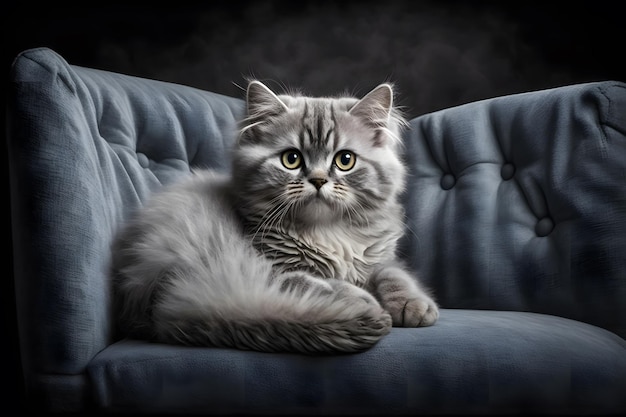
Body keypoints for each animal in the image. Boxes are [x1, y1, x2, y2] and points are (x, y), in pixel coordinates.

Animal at [109, 79, 436, 352]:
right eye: (291, 159)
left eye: (345, 160)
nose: (318, 180)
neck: (328, 232)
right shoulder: (271, 265)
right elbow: (314, 281)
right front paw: (360, 296)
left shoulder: (380, 257)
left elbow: (394, 274)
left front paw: (413, 304)